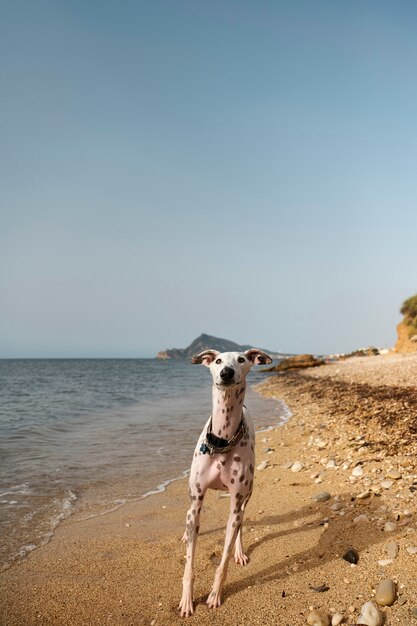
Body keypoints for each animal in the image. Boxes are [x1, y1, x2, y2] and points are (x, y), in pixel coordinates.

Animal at [177, 346, 272, 616]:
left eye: (241, 359)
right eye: (218, 360)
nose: (226, 373)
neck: (222, 440)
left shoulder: (237, 501)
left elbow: (223, 560)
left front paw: (215, 595)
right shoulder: (196, 501)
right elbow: (189, 564)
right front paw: (187, 601)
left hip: (247, 493)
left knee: (239, 524)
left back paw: (239, 552)